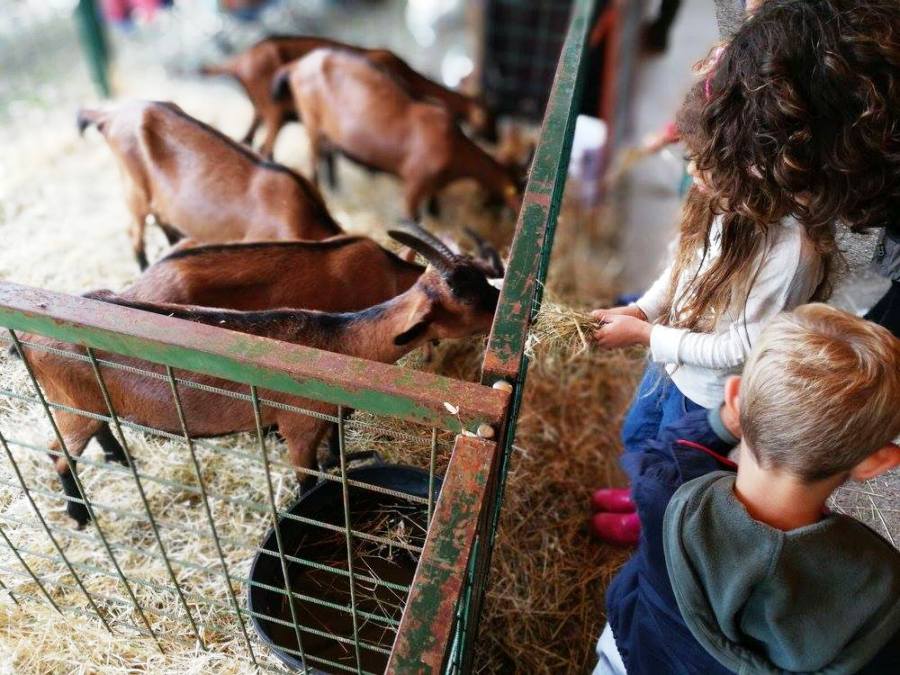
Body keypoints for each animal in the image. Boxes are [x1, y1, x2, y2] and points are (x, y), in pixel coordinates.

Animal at [15, 227, 500, 528]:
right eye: (469, 299)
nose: (506, 308)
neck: (339, 342)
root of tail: (24, 337)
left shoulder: (327, 416)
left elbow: (335, 448)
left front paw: (350, 459)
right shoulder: (297, 426)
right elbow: (307, 480)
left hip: (88, 403)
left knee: (96, 431)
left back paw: (120, 458)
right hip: (71, 405)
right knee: (58, 453)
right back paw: (80, 516)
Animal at [200, 36, 496, 160]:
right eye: (490, 119)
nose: (493, 138)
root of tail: (238, 62)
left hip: (261, 108)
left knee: (249, 139)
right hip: (274, 110)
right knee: (265, 147)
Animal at [274, 50, 524, 219]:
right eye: (490, 118)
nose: (495, 138)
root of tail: (296, 65)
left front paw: (435, 212)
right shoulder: (415, 183)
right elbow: (413, 219)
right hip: (312, 123)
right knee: (314, 162)